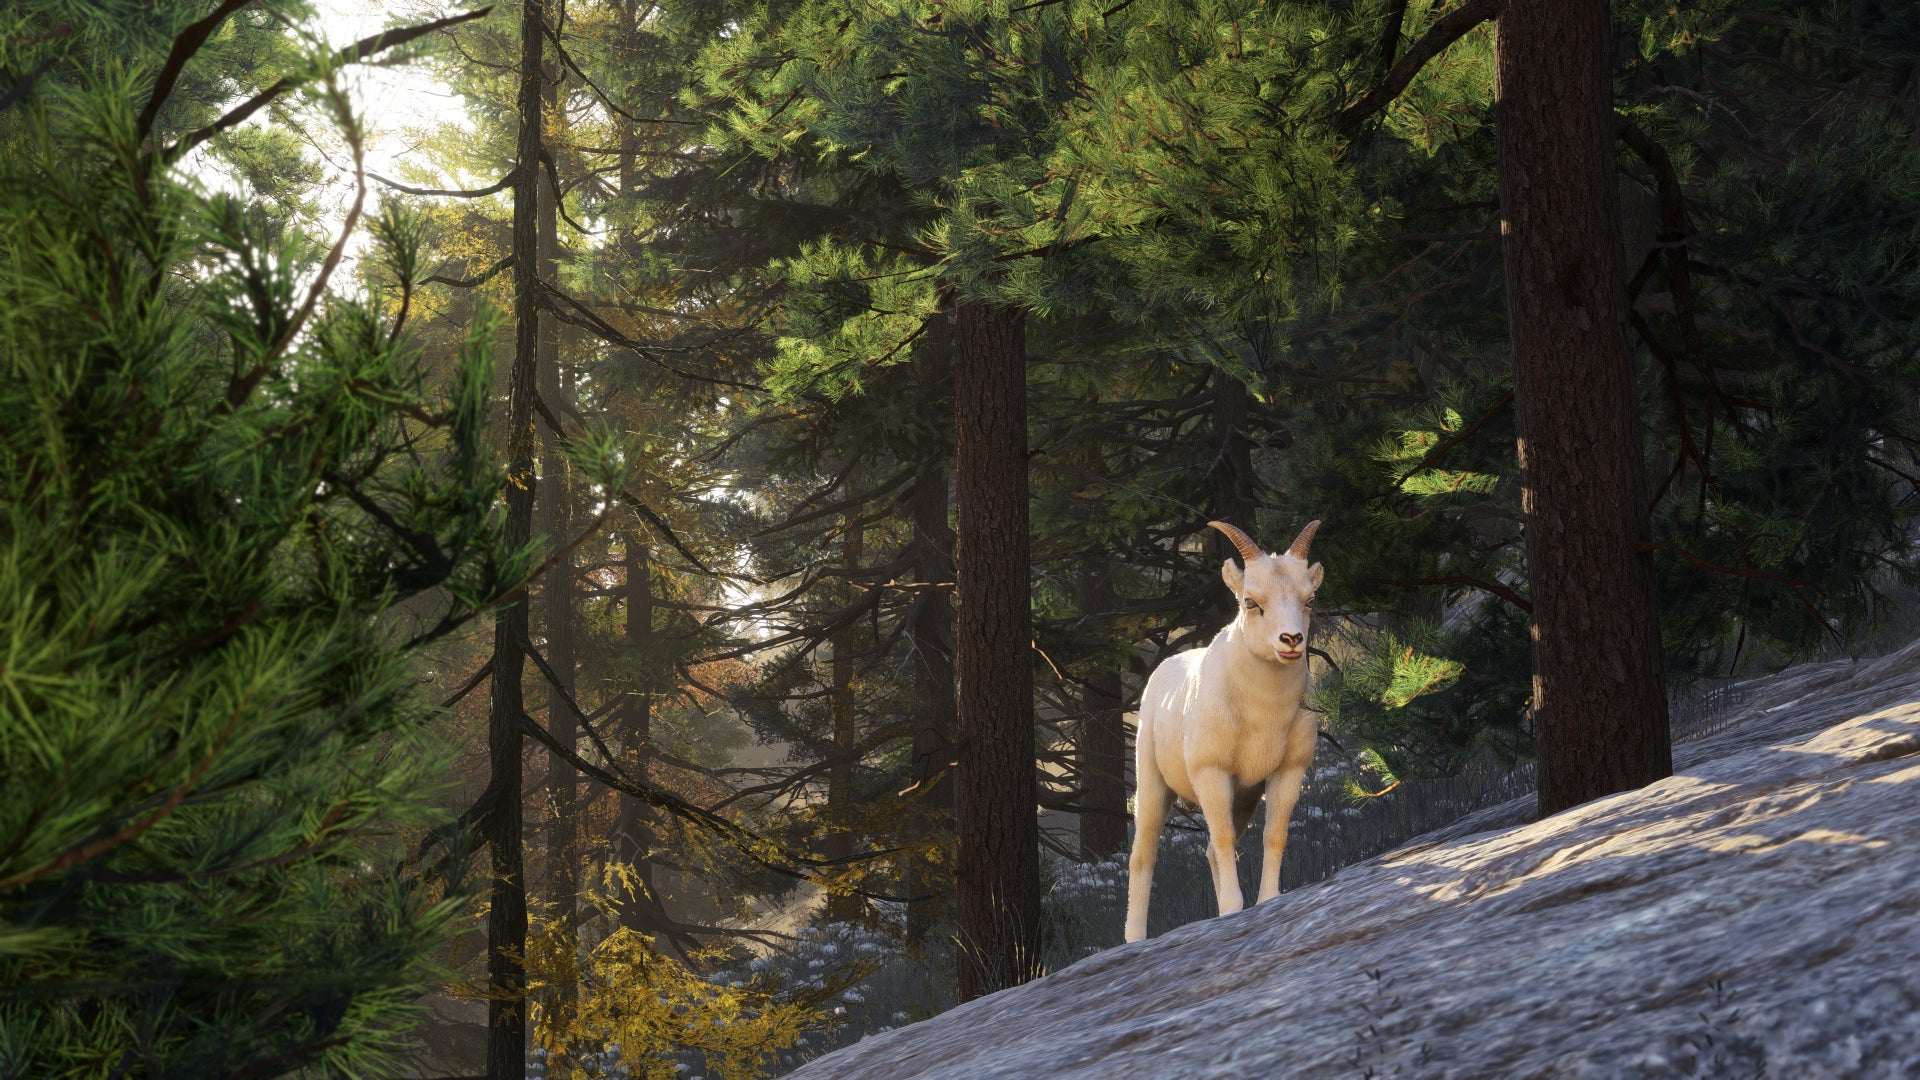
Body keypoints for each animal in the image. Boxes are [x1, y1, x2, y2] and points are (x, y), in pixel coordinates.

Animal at [1124, 519, 1324, 943]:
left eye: (1309, 600)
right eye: (1251, 602)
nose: (1291, 641)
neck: (1263, 714)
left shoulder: (1287, 773)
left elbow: (1272, 836)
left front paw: (1264, 902)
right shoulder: (1212, 774)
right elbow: (1224, 839)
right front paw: (1233, 910)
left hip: (1242, 800)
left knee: (1211, 853)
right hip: (1153, 787)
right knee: (1143, 856)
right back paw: (1135, 939)